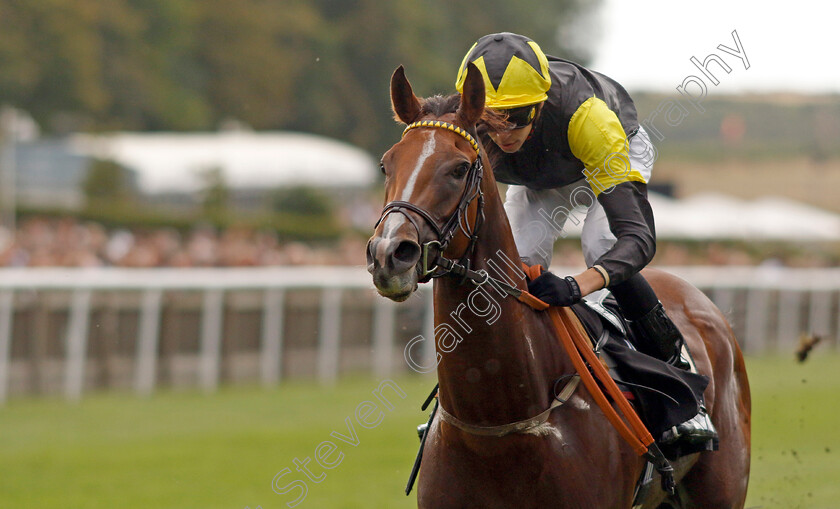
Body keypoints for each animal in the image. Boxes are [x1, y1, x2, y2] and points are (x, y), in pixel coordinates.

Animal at [364, 64, 752, 508]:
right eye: (386, 165)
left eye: (459, 168)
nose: (389, 253)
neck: (497, 424)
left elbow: (634, 237)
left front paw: (557, 288)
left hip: (721, 487)